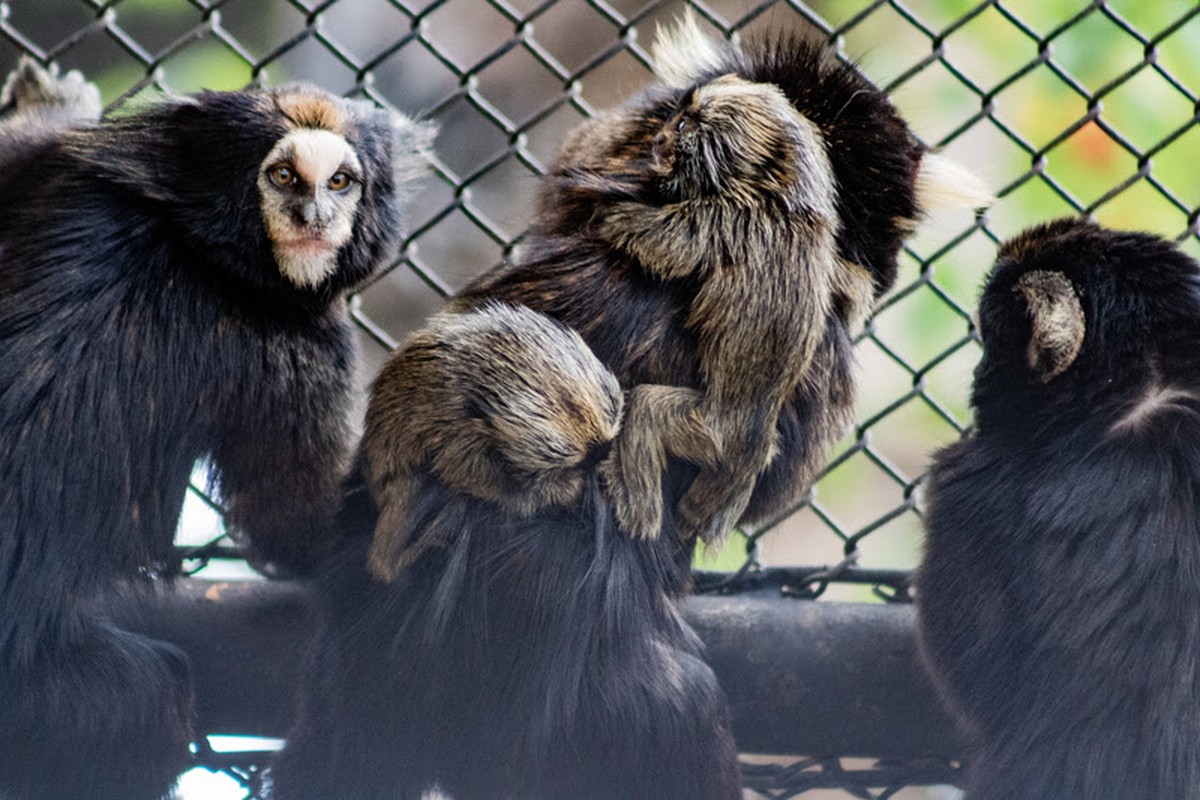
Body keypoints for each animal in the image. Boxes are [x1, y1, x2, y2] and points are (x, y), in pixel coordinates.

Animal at [0, 59, 436, 796]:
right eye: (284, 177)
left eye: (340, 182)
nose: (315, 217)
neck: (190, 238)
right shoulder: (298, 345)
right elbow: (304, 530)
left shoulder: (59, 174)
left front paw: (40, 105)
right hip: (39, 702)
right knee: (148, 705)